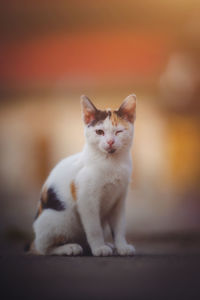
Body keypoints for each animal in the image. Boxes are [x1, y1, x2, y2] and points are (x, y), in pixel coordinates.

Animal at [32, 95, 137, 256]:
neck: (111, 163)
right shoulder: (87, 199)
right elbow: (94, 228)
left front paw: (121, 246)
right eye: (99, 132)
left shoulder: (119, 200)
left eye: (119, 132)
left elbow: (119, 226)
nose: (110, 141)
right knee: (43, 248)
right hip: (58, 218)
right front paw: (99, 248)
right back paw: (69, 248)